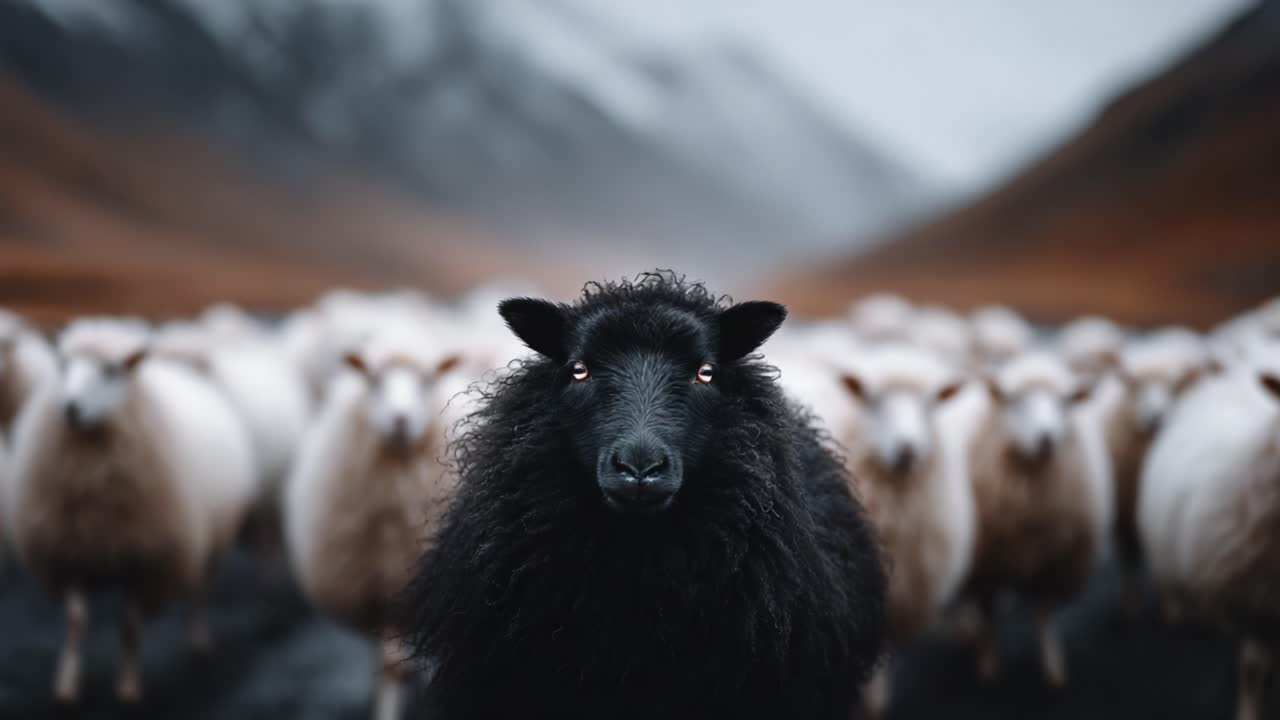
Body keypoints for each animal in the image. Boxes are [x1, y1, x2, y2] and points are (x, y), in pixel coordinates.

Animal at [5, 318, 256, 702]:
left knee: (198, 593)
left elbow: (129, 626)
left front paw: (127, 686)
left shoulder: (146, 562)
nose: (70, 408)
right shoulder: (67, 555)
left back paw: (200, 642)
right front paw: (67, 684)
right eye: (63, 365)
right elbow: (75, 623)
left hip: (208, 543)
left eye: (111, 370)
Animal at [284, 321, 464, 720]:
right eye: (373, 380)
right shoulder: (374, 594)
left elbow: (396, 666)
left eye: (427, 380)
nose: (400, 419)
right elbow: (387, 667)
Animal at [963, 350, 1112, 688]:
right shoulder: (985, 565)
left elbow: (1045, 616)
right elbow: (987, 614)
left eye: (1065, 402)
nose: (1047, 439)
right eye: (1014, 400)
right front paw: (988, 663)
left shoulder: (1054, 565)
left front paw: (1052, 666)